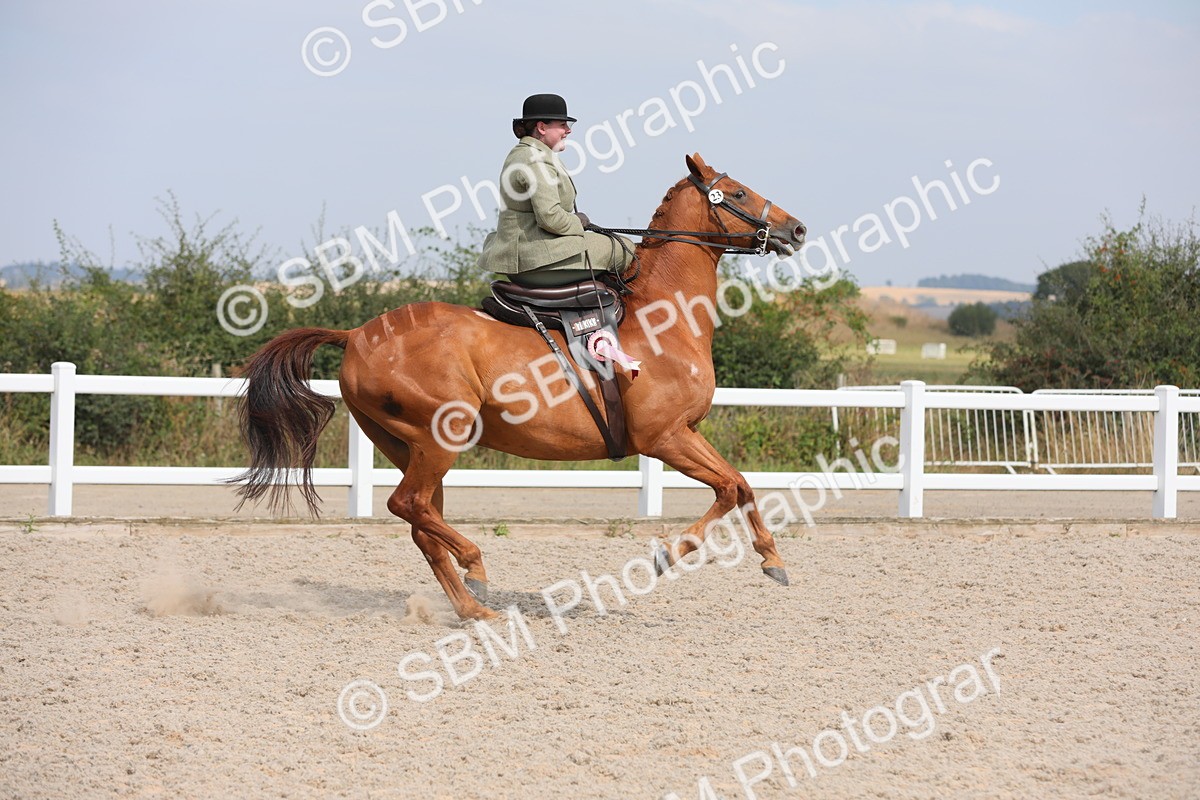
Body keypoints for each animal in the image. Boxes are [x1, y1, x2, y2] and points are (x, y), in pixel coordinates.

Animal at [232, 153, 808, 620]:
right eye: (738, 193)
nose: (798, 229)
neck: (663, 318)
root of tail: (356, 334)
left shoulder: (686, 432)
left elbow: (742, 484)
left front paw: (773, 560)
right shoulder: (664, 437)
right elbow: (728, 487)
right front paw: (670, 553)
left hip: (406, 445)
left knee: (421, 522)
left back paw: (473, 608)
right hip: (440, 437)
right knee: (408, 505)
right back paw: (476, 568)